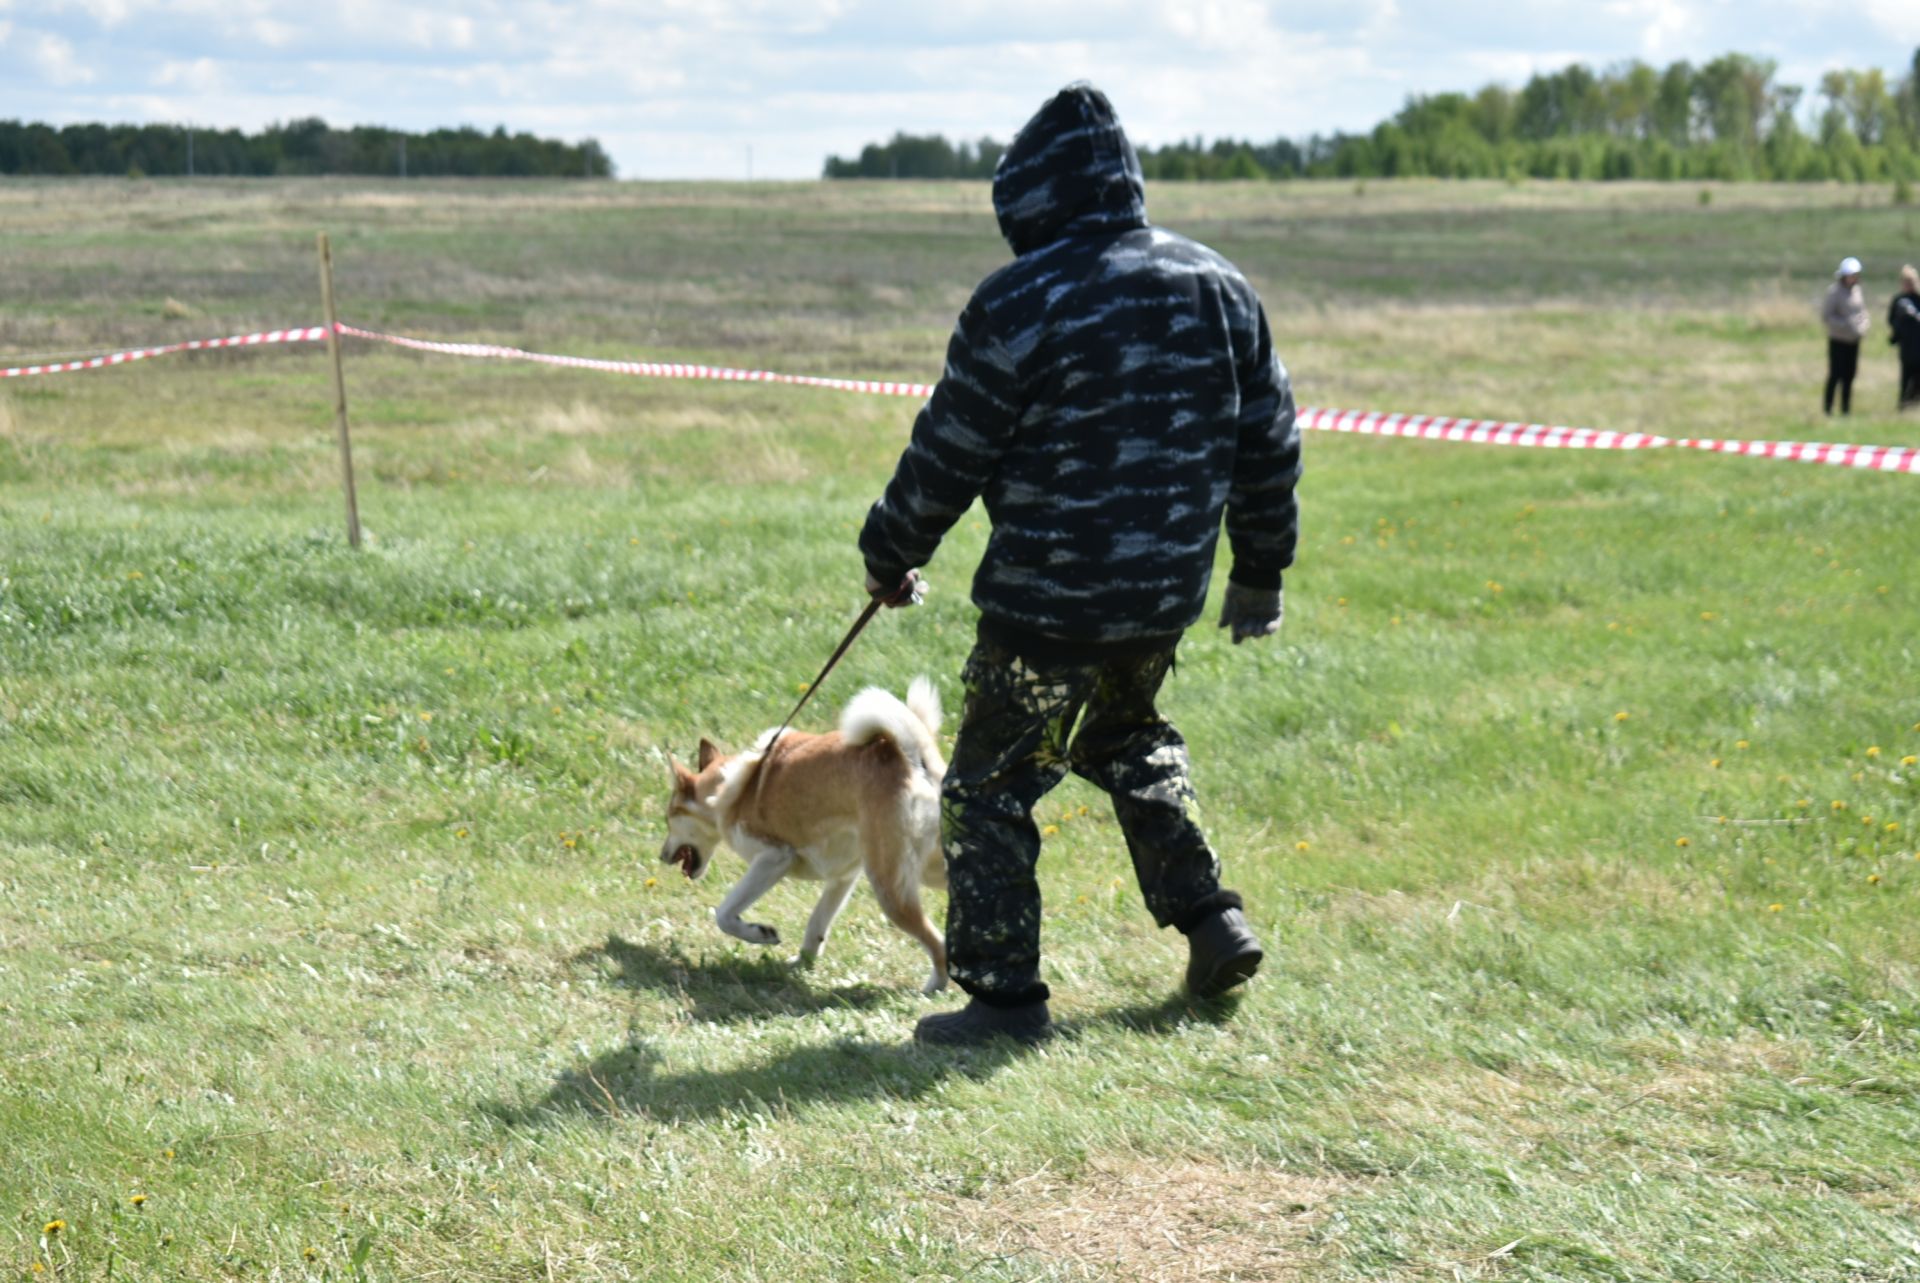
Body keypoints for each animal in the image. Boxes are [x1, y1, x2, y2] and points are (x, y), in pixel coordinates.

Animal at [664, 679, 948, 991]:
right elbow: (816, 924)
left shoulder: (774, 858)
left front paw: (760, 933)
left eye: (667, 819)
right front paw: (801, 964)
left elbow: (725, 914)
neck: (726, 791)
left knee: (938, 943)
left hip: (890, 888)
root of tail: (911, 758)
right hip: (929, 869)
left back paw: (934, 987)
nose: (662, 856)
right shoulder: (843, 877)